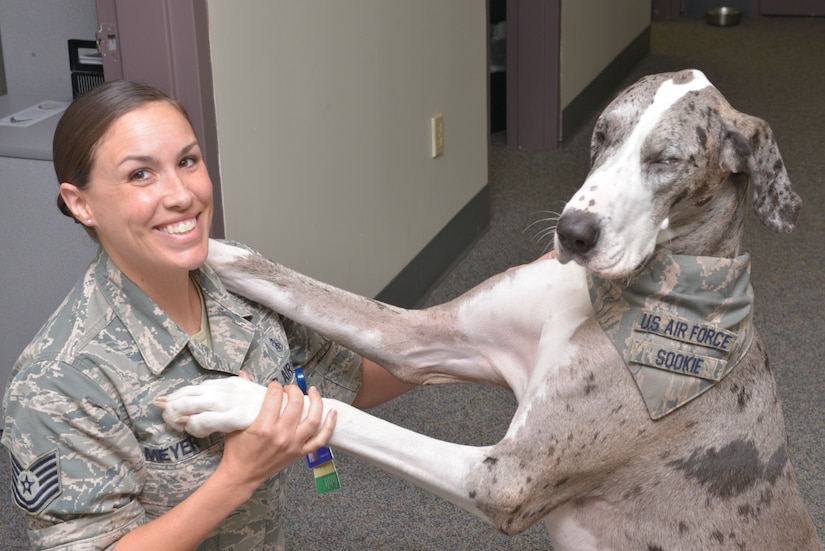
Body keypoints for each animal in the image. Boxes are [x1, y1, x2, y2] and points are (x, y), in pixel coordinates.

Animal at [159, 71, 816, 548]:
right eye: (603, 134)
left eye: (668, 160)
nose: (573, 232)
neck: (601, 299)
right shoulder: (420, 334)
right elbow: (282, 278)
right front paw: (189, 244)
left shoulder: (501, 479)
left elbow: (352, 418)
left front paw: (230, 398)